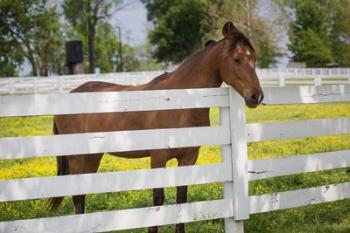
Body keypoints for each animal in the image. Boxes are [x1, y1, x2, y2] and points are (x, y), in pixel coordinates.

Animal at [48, 22, 262, 233]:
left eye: (254, 58)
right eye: (237, 59)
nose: (256, 96)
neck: (179, 103)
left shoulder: (188, 158)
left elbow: (181, 197)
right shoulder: (158, 158)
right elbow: (158, 200)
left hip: (93, 156)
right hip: (77, 158)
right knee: (77, 196)